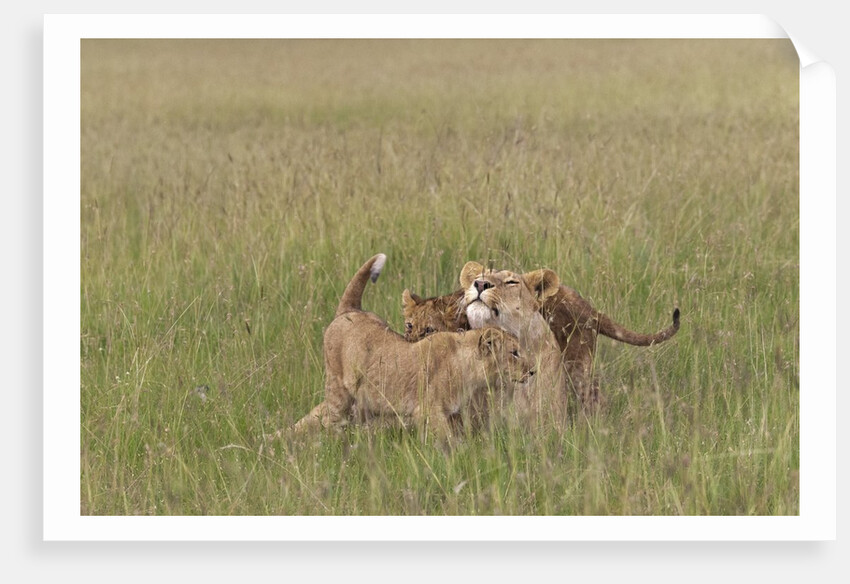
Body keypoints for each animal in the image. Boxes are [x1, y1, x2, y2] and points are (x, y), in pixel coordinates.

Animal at [292, 254, 535, 444]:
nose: (533, 371)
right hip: (338, 393)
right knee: (327, 419)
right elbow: (449, 441)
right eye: (514, 353)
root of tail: (350, 310)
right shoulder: (429, 410)